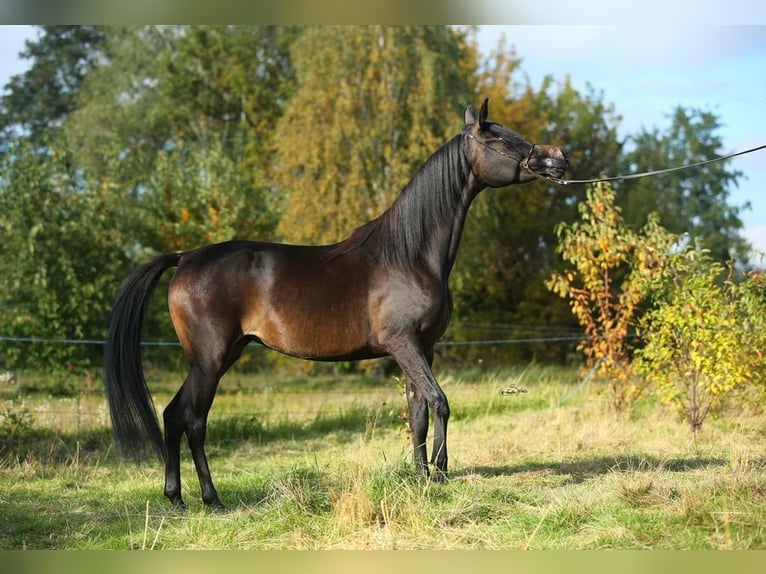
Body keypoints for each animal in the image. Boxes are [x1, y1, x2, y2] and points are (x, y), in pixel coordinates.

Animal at [103, 98, 568, 508]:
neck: (409, 254)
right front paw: (440, 472)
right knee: (193, 420)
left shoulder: (423, 346)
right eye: (500, 139)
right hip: (209, 360)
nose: (557, 158)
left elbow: (417, 410)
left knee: (172, 415)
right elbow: (439, 402)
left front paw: (421, 477)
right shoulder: (403, 344)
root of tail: (186, 257)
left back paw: (176, 497)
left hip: (221, 355)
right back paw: (211, 499)